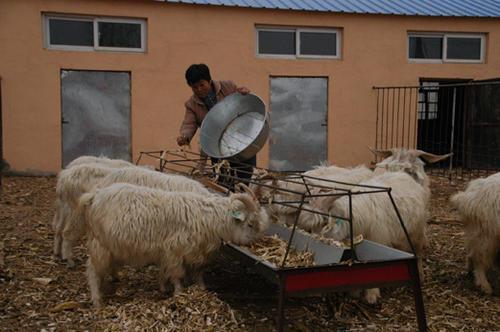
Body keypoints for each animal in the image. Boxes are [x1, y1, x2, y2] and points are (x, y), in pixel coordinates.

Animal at [81, 183, 270, 308]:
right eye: (250, 224)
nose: (253, 243)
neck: (208, 217)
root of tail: (95, 195)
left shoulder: (191, 253)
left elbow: (194, 273)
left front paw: (195, 288)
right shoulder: (176, 251)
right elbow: (178, 274)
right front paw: (179, 294)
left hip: (111, 247)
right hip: (100, 244)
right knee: (92, 270)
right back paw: (97, 300)